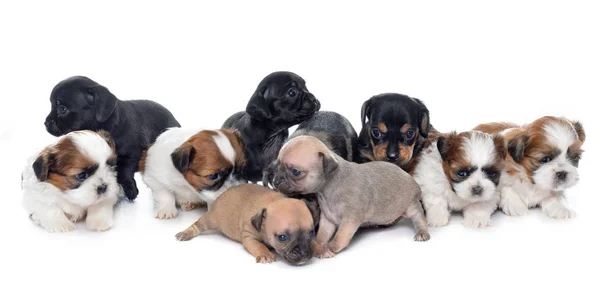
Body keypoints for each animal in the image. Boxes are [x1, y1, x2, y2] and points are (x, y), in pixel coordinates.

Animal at [175, 184, 318, 266]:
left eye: (311, 233)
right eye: (282, 237)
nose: (304, 253)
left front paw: (319, 248)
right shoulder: (249, 237)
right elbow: (258, 245)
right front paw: (265, 254)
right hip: (211, 219)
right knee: (198, 225)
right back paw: (186, 233)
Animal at [270, 135, 428, 258]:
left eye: (295, 172)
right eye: (277, 166)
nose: (275, 181)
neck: (327, 189)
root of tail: (412, 180)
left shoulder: (350, 219)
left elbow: (340, 236)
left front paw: (330, 247)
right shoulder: (328, 220)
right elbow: (322, 235)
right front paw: (318, 245)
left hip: (410, 206)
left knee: (419, 216)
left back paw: (422, 232)